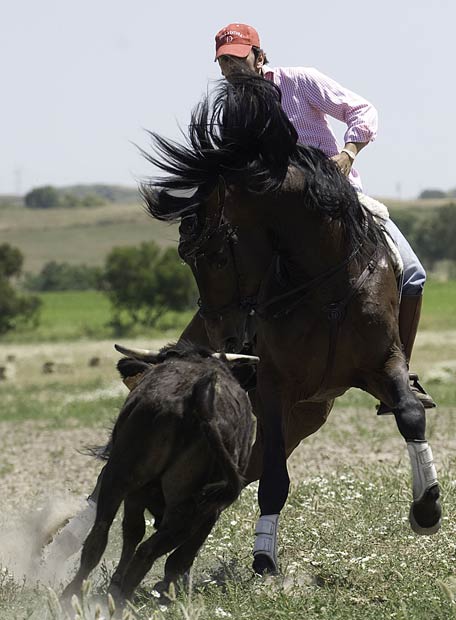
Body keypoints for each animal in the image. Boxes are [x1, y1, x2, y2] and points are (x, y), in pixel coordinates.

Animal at [140, 74, 442, 576]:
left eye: (215, 254)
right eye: (186, 256)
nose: (227, 337)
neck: (328, 283)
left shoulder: (382, 364)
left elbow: (409, 414)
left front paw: (428, 508)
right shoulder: (275, 387)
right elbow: (275, 480)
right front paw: (264, 556)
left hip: (309, 413)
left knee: (241, 471)